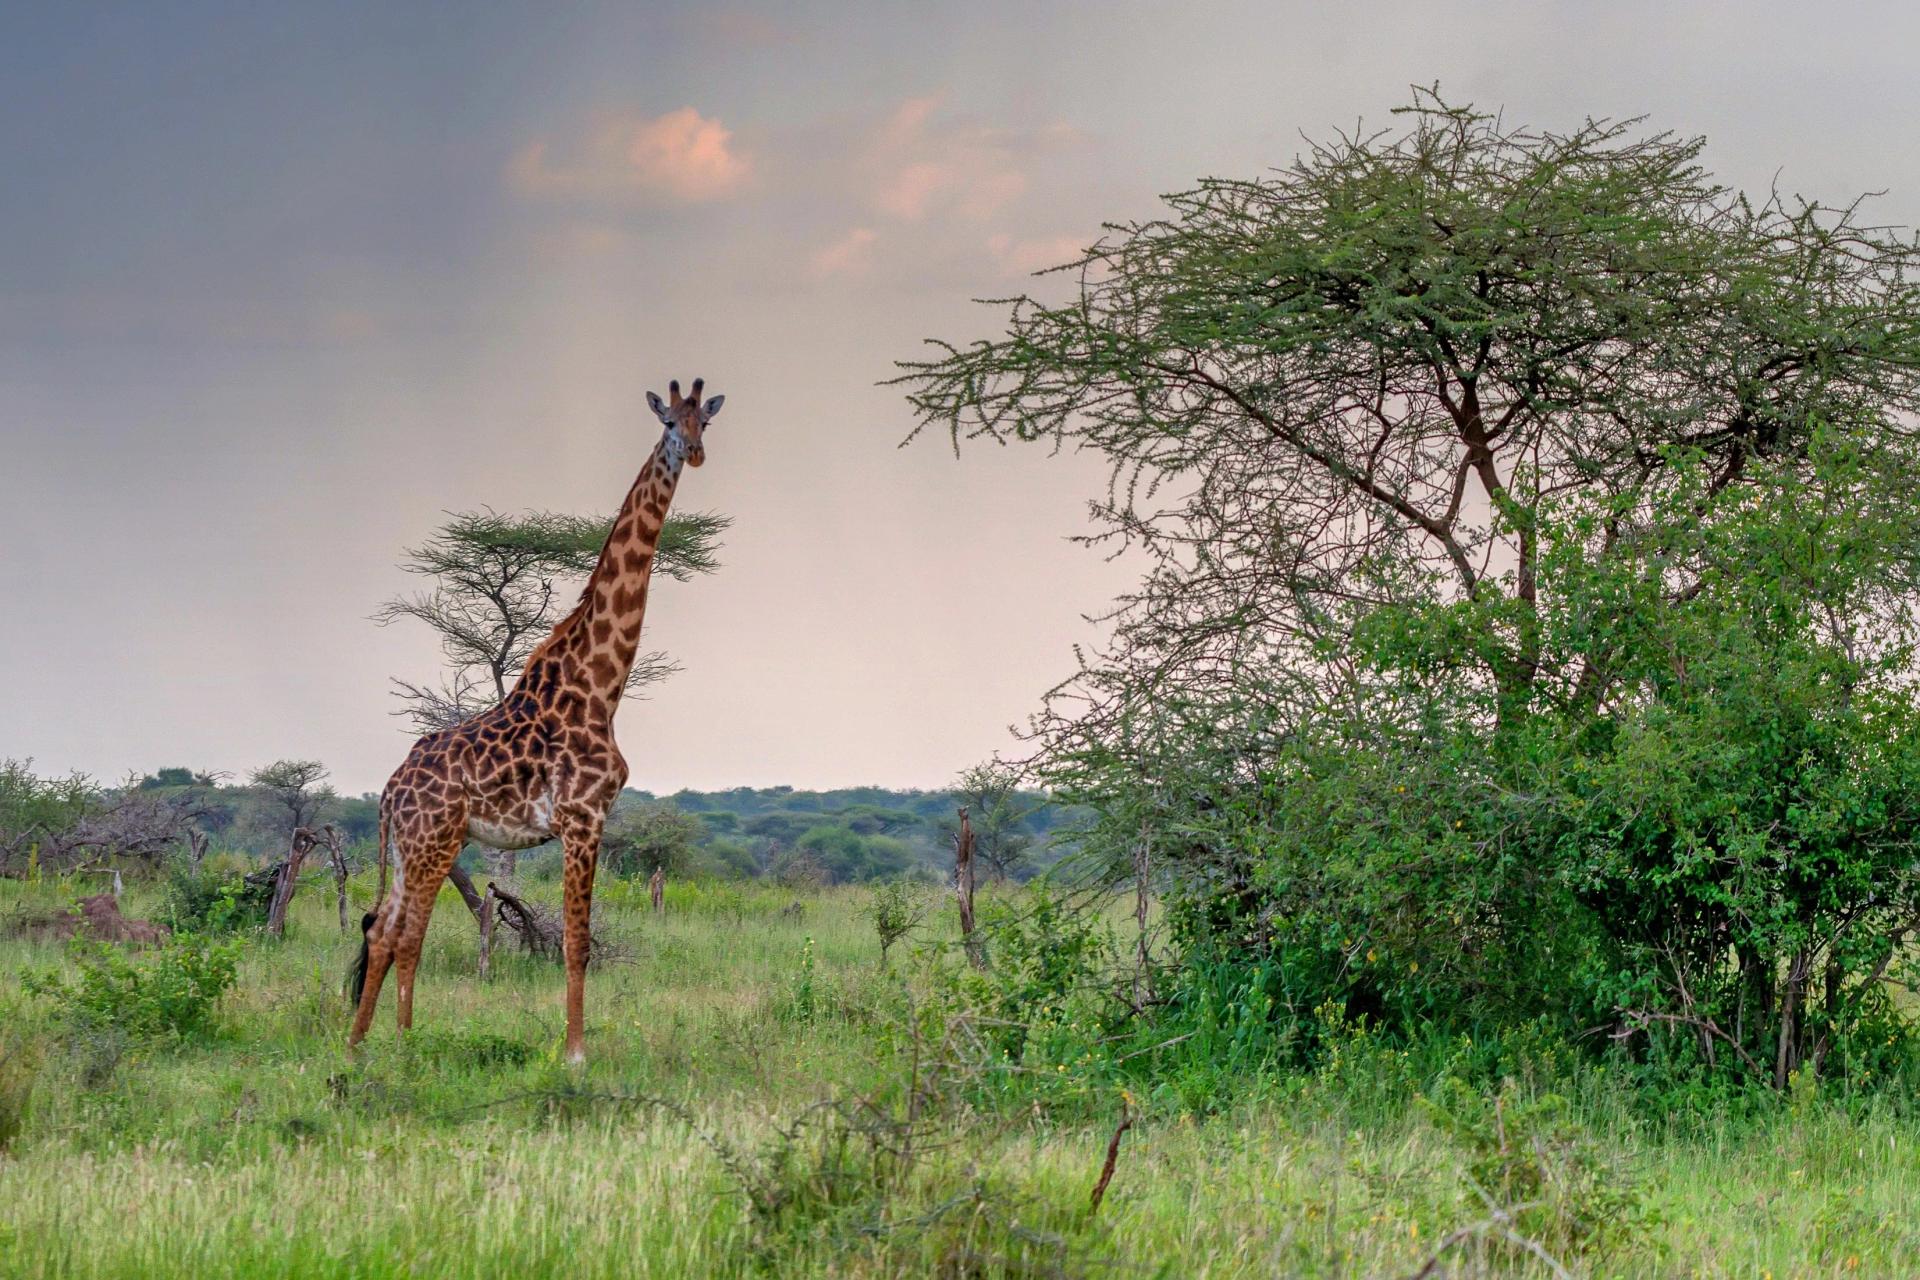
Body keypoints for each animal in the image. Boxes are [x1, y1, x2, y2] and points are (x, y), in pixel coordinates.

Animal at [345, 376, 721, 1066]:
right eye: (668, 423)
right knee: (405, 934)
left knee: (382, 929)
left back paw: (359, 1043)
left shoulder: (586, 821)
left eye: (702, 421)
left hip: (418, 845)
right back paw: (401, 1044)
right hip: (433, 841)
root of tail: (388, 791)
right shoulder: (582, 818)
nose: (696, 453)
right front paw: (574, 1054)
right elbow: (577, 942)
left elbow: (576, 940)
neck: (600, 687)